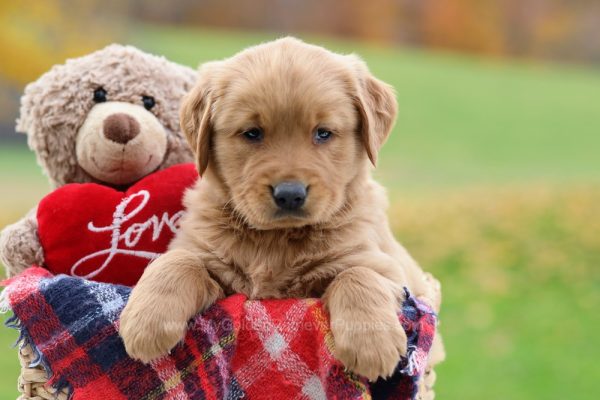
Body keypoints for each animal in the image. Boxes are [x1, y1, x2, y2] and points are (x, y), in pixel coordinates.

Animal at [120, 37, 440, 382]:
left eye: (323, 133)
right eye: (252, 133)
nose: (290, 194)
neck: (275, 240)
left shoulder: (384, 266)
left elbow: (359, 274)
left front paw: (371, 344)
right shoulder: (206, 256)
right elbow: (178, 260)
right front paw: (146, 322)